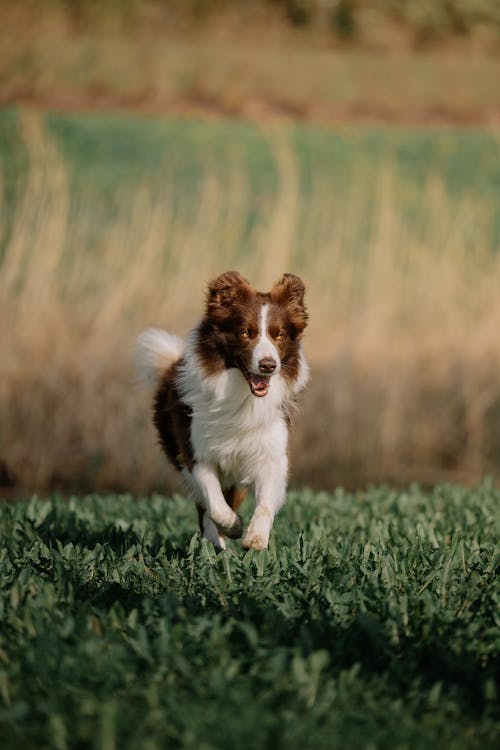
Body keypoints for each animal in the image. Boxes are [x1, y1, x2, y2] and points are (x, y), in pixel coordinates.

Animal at [137, 272, 308, 552]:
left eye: (279, 335)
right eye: (246, 333)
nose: (268, 365)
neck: (242, 394)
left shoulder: (271, 452)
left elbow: (265, 503)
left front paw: (256, 538)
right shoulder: (195, 450)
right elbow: (215, 504)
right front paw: (233, 526)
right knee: (204, 505)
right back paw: (214, 541)